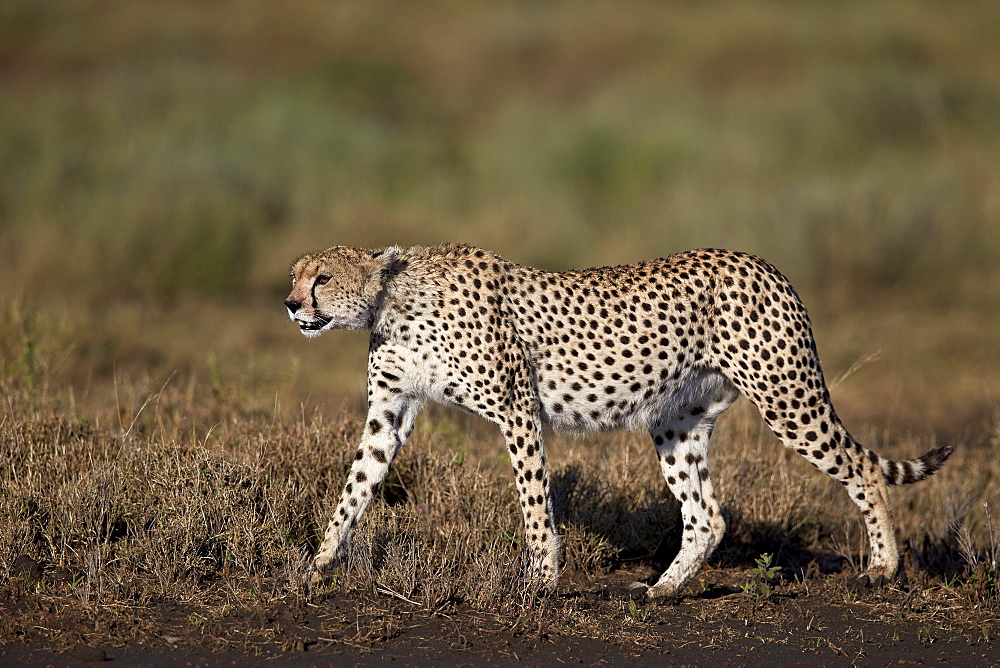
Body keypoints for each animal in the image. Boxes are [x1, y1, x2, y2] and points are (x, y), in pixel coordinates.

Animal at [284, 244, 952, 600]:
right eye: (296, 274)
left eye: (323, 278)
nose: (290, 303)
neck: (392, 302)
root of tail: (761, 261)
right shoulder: (389, 413)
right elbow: (356, 487)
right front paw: (317, 564)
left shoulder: (516, 409)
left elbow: (535, 502)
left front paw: (541, 582)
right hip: (677, 423)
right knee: (707, 515)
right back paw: (663, 590)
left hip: (786, 396)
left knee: (863, 467)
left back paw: (884, 568)